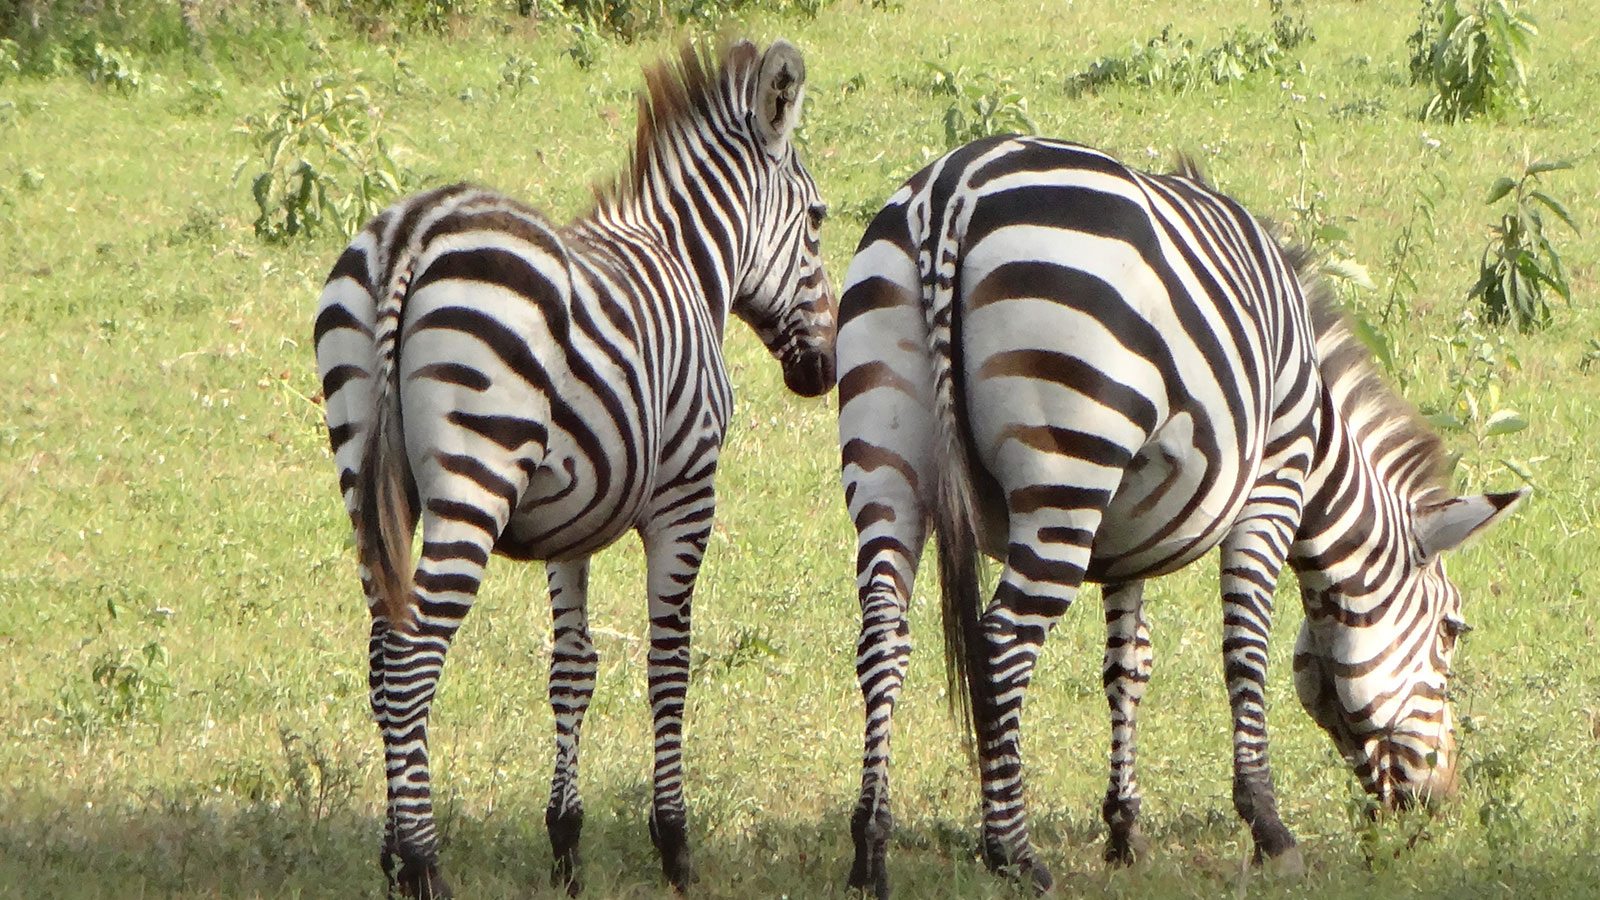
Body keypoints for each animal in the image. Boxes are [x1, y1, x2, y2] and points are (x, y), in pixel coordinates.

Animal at [315, 38, 838, 890]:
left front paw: (565, 840)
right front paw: (674, 843)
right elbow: (669, 661)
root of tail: (411, 234)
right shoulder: (687, 495)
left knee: (381, 657)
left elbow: (572, 666)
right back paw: (424, 864)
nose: (822, 370)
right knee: (413, 658)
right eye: (819, 220)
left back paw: (394, 857)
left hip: (369, 475)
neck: (687, 262)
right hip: (476, 475)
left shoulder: (573, 514)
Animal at [838, 134, 1523, 896]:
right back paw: (1012, 851)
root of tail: (952, 192)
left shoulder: (1123, 533)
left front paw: (1124, 830)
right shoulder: (1272, 490)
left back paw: (871, 849)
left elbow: (1127, 666)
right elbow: (1245, 654)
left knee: (883, 643)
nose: (1439, 802)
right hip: (1068, 467)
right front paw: (1269, 829)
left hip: (888, 456)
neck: (1320, 442)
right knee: (1001, 643)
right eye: (1452, 631)